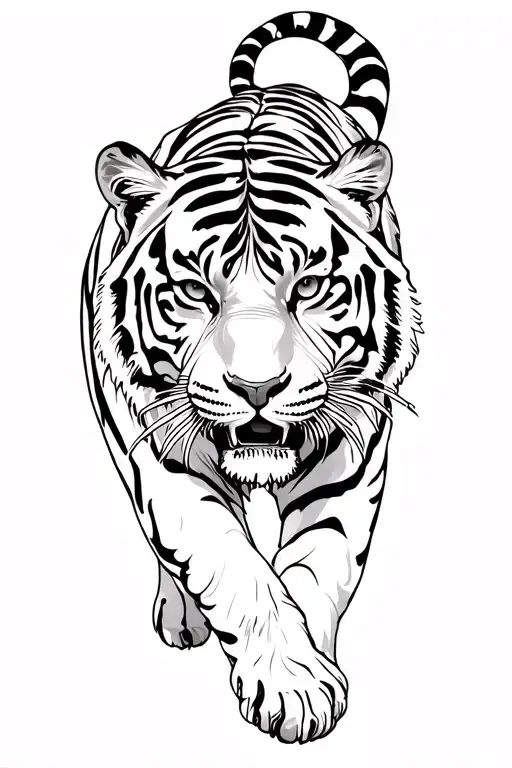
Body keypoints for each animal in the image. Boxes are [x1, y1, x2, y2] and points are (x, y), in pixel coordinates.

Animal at [81, 10, 421, 744]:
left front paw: (309, 675)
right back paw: (181, 616)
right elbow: (235, 567)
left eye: (310, 286)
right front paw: (293, 686)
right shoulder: (167, 467)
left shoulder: (349, 465)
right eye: (193, 291)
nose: (257, 389)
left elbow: (316, 569)